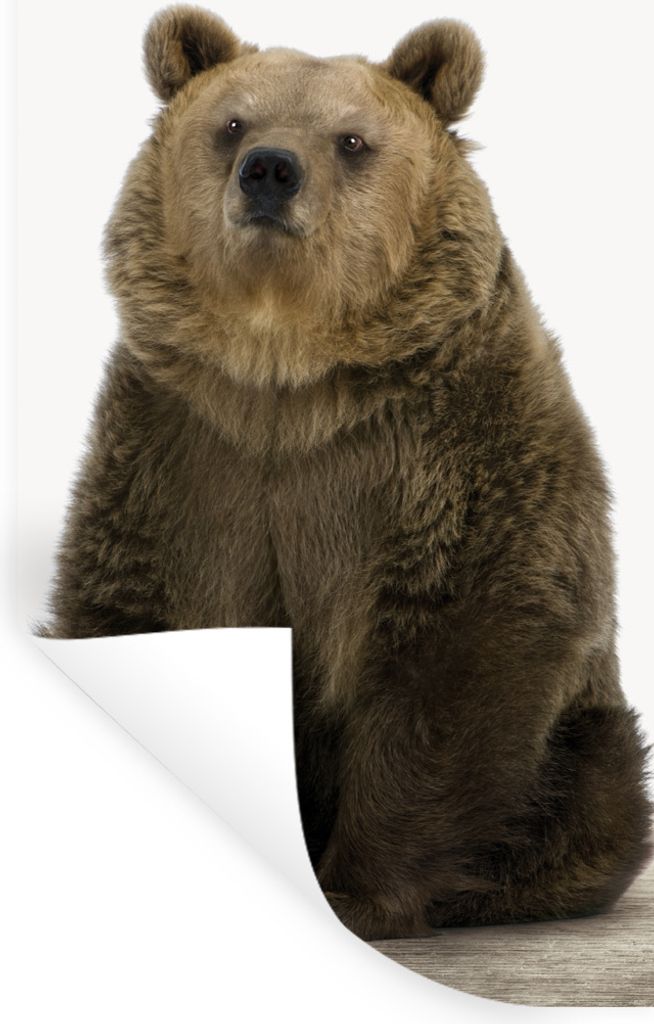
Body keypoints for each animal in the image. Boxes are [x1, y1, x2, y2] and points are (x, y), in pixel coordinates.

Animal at [42, 5, 652, 941]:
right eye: (232, 124)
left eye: (352, 139)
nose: (270, 170)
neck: (286, 376)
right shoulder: (176, 451)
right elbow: (128, 603)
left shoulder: (451, 447)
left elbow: (462, 640)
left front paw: (360, 891)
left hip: (584, 747)